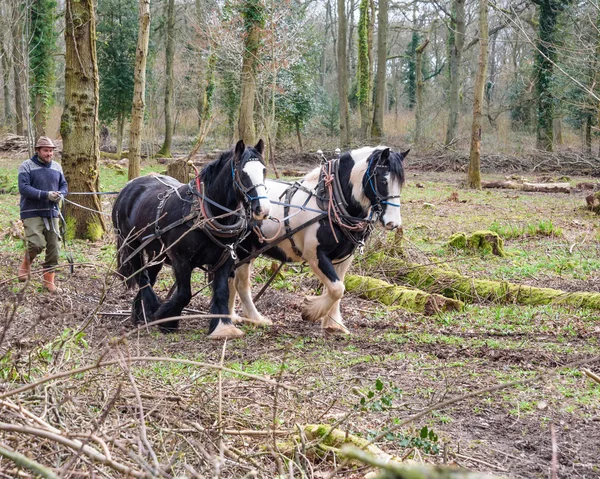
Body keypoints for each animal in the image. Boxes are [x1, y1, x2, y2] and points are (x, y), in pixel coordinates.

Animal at [112, 141, 270, 340]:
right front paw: (167, 320)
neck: (205, 213)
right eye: (243, 173)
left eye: (264, 170)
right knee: (142, 278)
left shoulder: (225, 259)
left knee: (149, 276)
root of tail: (129, 187)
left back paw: (140, 314)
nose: (263, 209)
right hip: (132, 245)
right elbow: (184, 294)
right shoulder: (181, 261)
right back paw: (151, 310)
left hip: (157, 254)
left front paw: (222, 327)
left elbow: (221, 291)